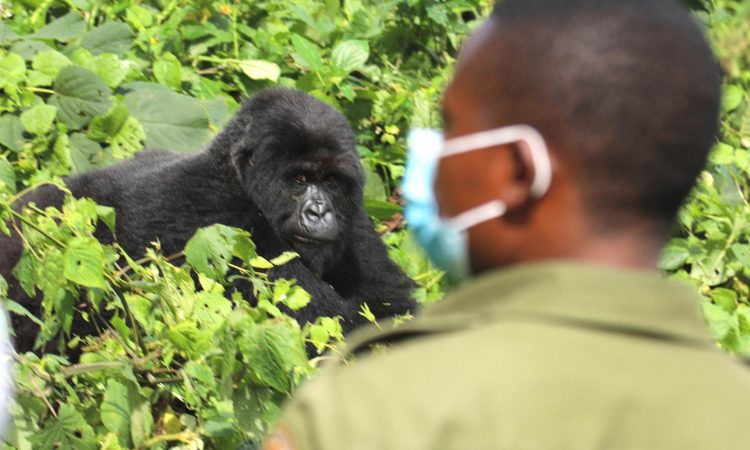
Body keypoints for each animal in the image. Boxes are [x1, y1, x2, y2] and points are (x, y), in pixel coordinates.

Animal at [0, 88, 418, 354]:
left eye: (330, 181)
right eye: (300, 179)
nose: (319, 212)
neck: (237, 177)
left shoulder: (355, 219)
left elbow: (392, 308)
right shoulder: (221, 223)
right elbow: (340, 333)